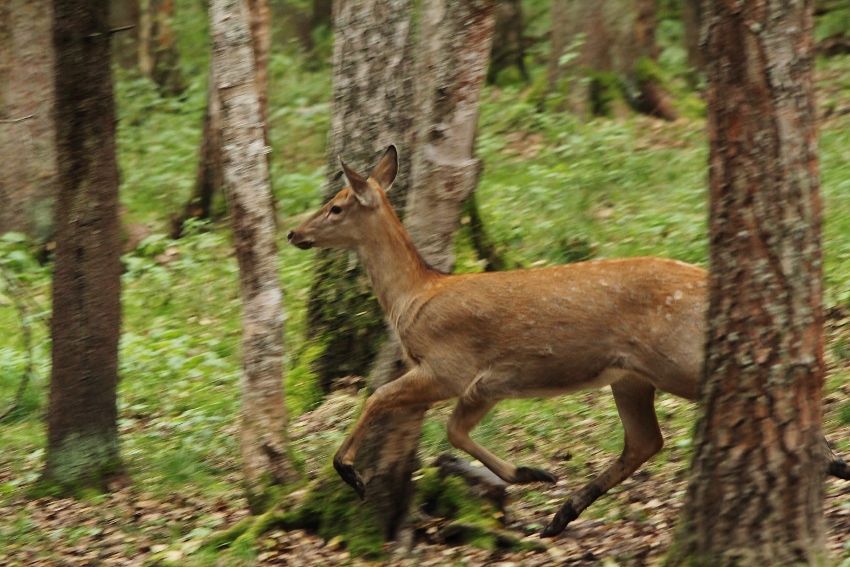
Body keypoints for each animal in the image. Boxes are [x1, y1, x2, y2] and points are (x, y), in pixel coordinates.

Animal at [286, 145, 848, 536]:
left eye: (336, 206)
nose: (294, 233)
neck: (416, 296)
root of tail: (712, 282)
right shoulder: (487, 384)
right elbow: (450, 429)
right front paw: (534, 474)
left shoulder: (453, 366)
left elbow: (391, 402)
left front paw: (350, 472)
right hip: (631, 376)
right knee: (645, 441)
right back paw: (561, 515)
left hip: (678, 358)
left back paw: (829, 460)